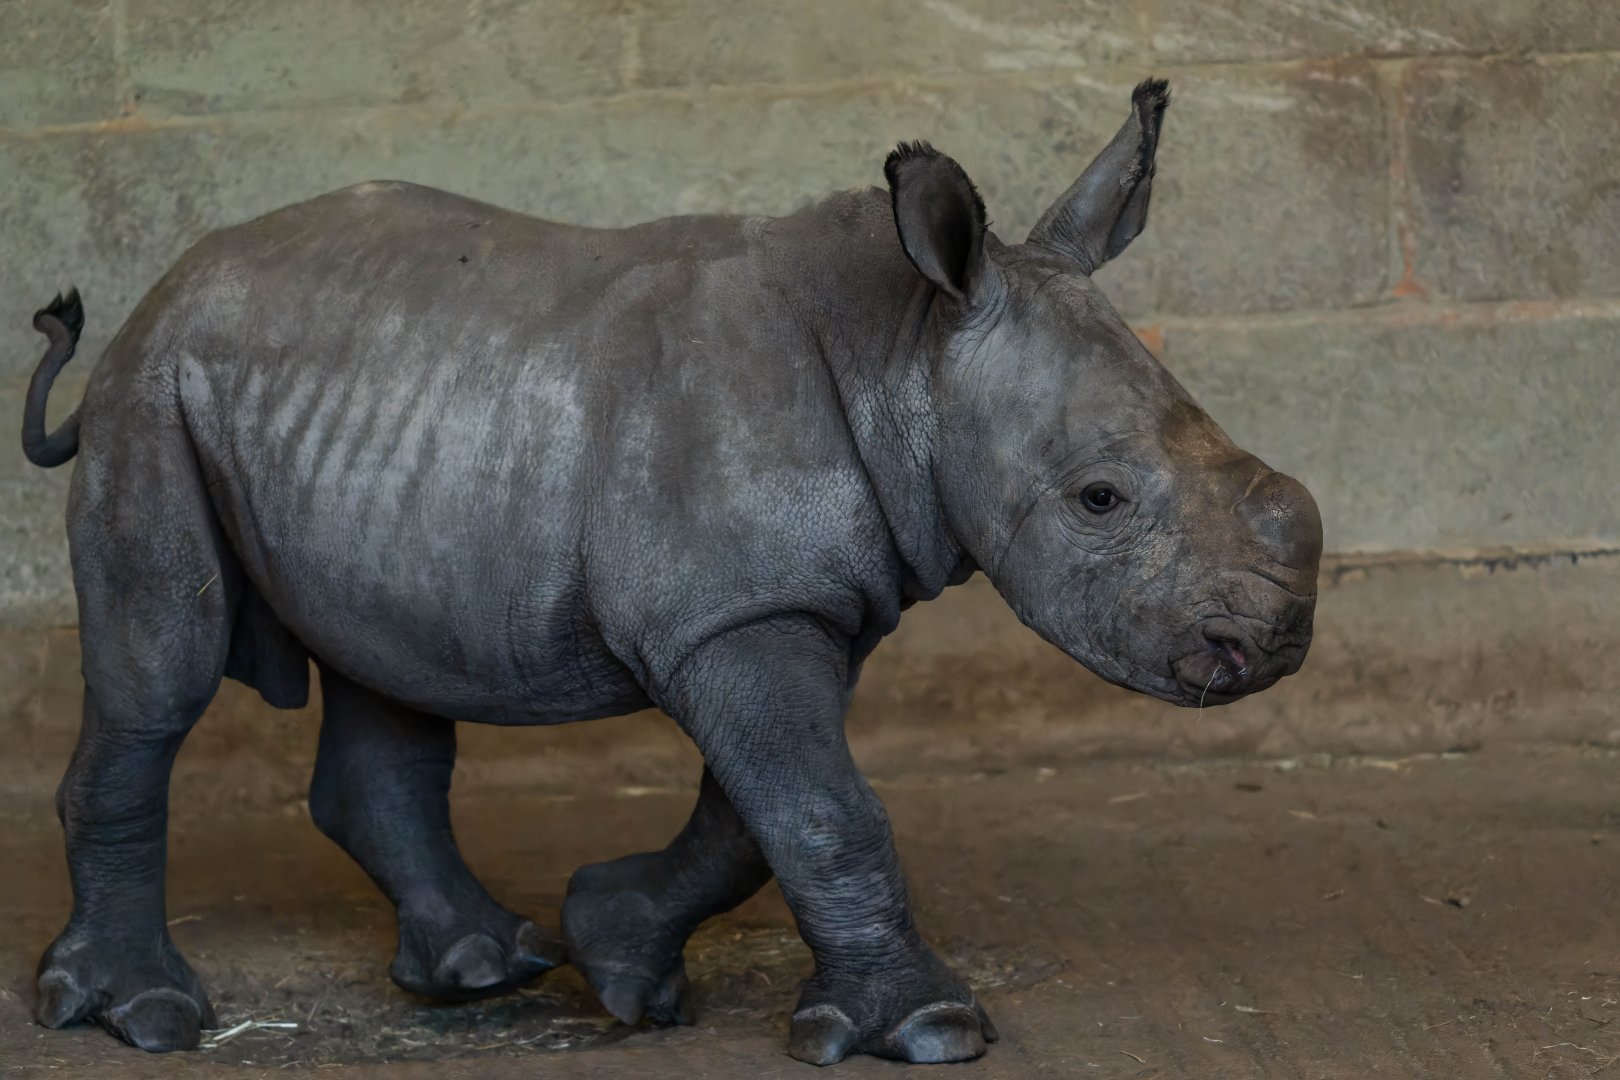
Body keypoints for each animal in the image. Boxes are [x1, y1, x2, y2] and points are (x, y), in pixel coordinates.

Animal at [19, 79, 1320, 1065]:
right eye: (1100, 500)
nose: (1274, 645)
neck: (907, 348)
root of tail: (159, 296)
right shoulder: (736, 614)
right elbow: (824, 807)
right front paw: (930, 1033)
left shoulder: (782, 600)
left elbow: (764, 810)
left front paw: (618, 954)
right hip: (152, 398)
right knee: (163, 673)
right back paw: (141, 1014)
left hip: (358, 416)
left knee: (390, 661)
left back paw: (486, 969)